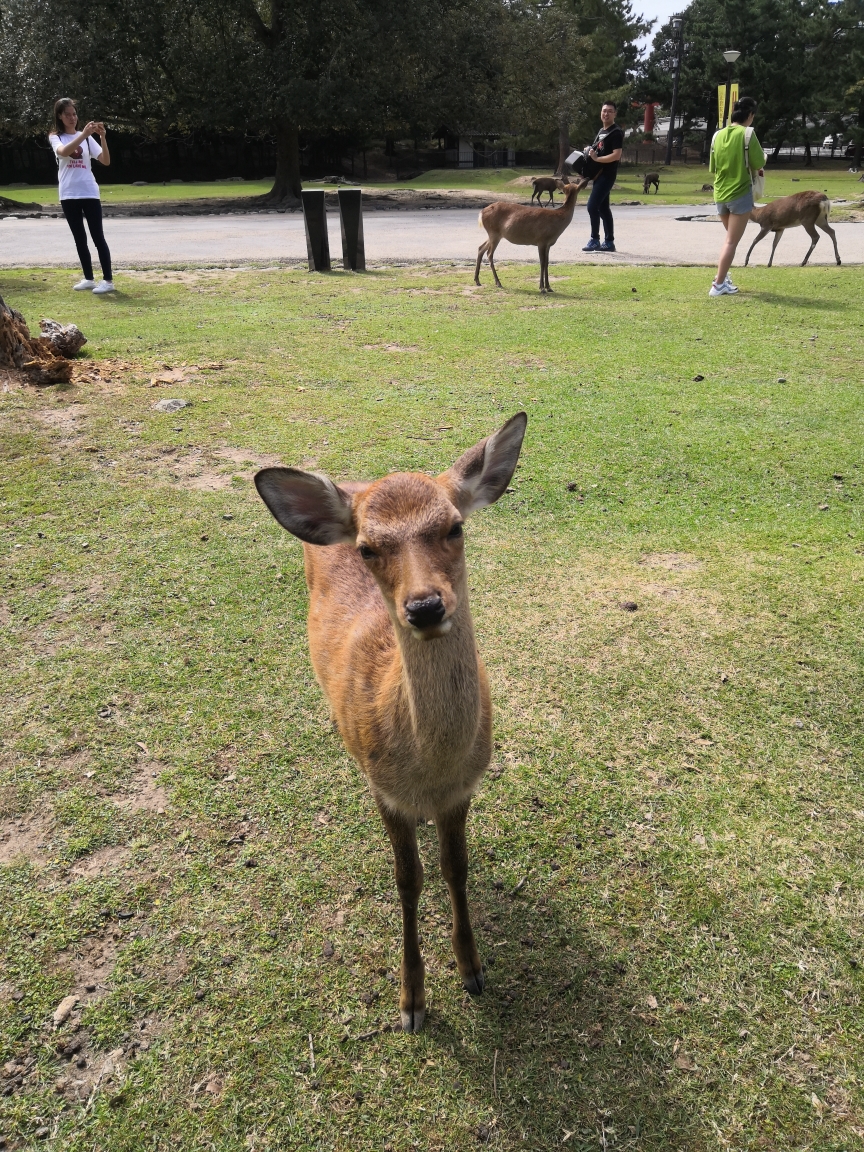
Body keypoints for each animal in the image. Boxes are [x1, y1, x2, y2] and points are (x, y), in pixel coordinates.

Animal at [253, 410, 532, 1032]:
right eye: (367, 548)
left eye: (455, 526)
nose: (425, 607)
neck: (430, 770)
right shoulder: (385, 792)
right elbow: (408, 882)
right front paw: (412, 1002)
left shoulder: (463, 789)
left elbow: (456, 868)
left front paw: (472, 970)